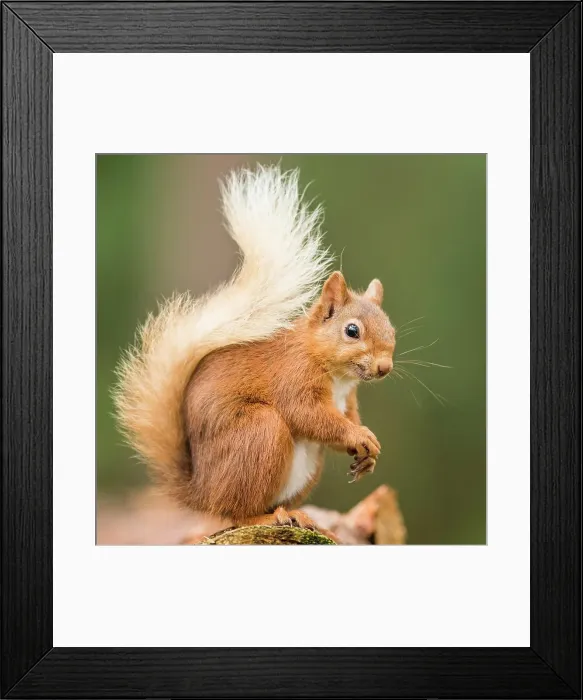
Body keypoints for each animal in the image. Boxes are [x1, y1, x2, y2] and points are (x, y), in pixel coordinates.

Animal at [114, 165, 396, 533]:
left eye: (392, 328)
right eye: (352, 331)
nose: (384, 367)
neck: (335, 374)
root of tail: (201, 493)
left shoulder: (346, 399)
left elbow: (345, 417)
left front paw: (368, 452)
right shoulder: (293, 376)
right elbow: (306, 413)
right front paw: (357, 435)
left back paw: (303, 517)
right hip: (259, 433)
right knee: (236, 513)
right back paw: (266, 516)